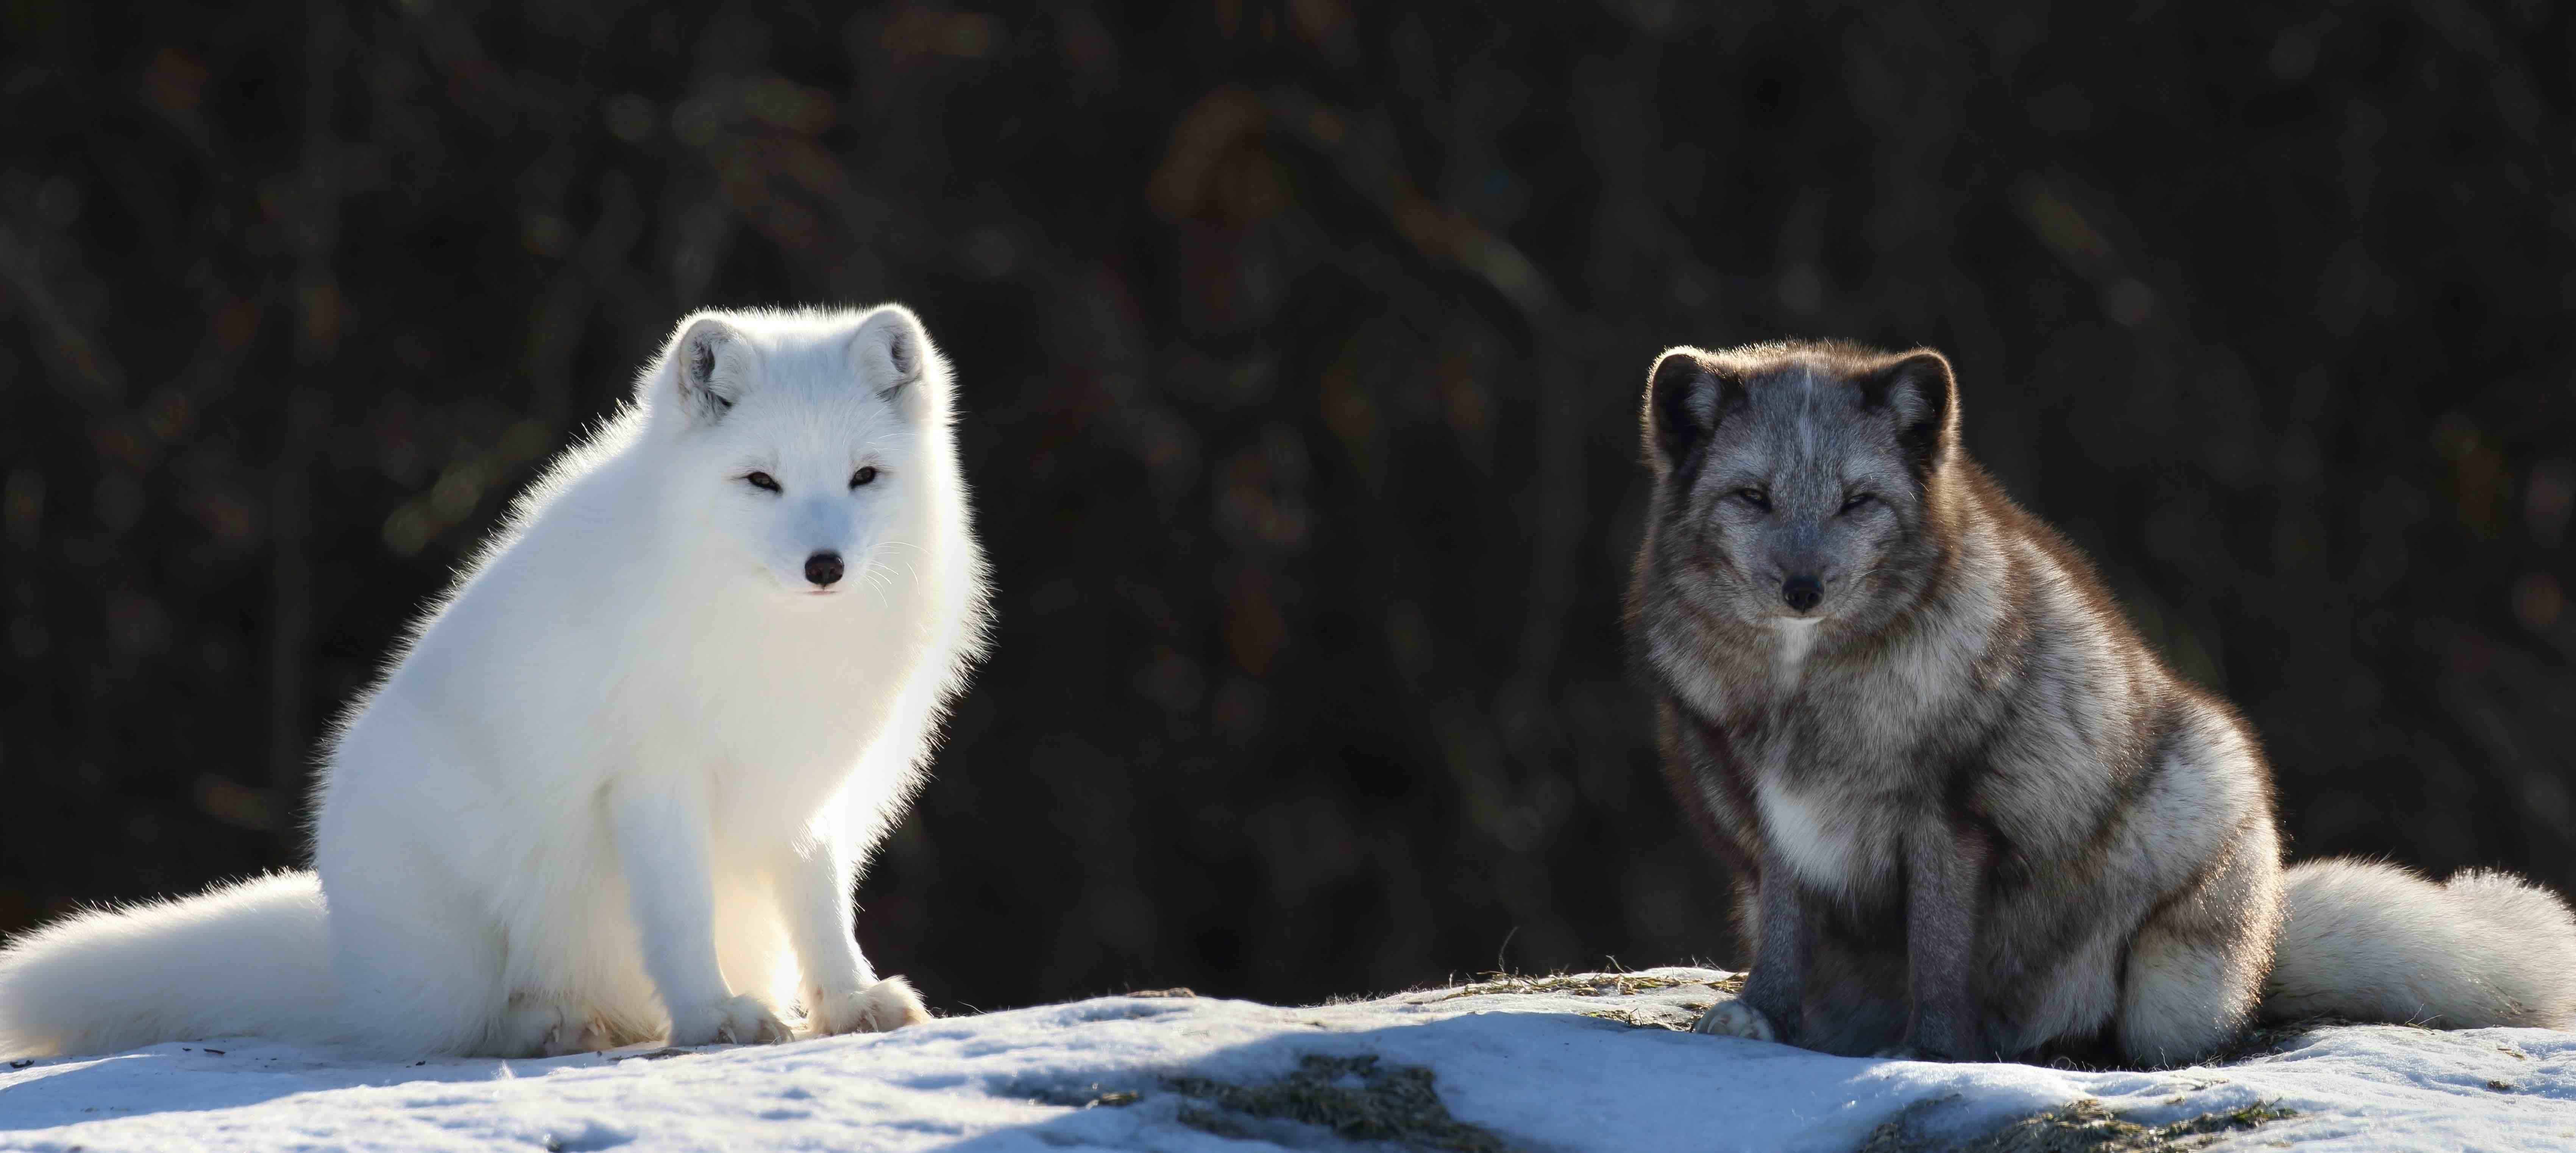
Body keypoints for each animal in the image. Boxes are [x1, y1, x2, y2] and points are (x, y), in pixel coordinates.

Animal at [0, 305, 992, 1059]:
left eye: (864, 477)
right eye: (760, 480)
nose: (825, 565)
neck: (778, 641)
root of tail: (344, 951)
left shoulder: (805, 793)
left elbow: (821, 911)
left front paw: (848, 1002)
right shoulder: (652, 778)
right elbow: (678, 915)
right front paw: (713, 1016)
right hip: (461, 944)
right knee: (457, 1027)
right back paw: (552, 1026)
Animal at [1626, 339, 2576, 1066]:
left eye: (1857, 501)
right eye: (1751, 496)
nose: (1802, 590)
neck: (1804, 688)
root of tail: (2267, 940)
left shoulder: (1950, 814)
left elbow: (1937, 950)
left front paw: (1930, 1049)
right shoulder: (1770, 817)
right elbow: (1784, 933)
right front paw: (1763, 1016)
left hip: (2174, 931)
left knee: (2152, 1028)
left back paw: (2062, 1042)